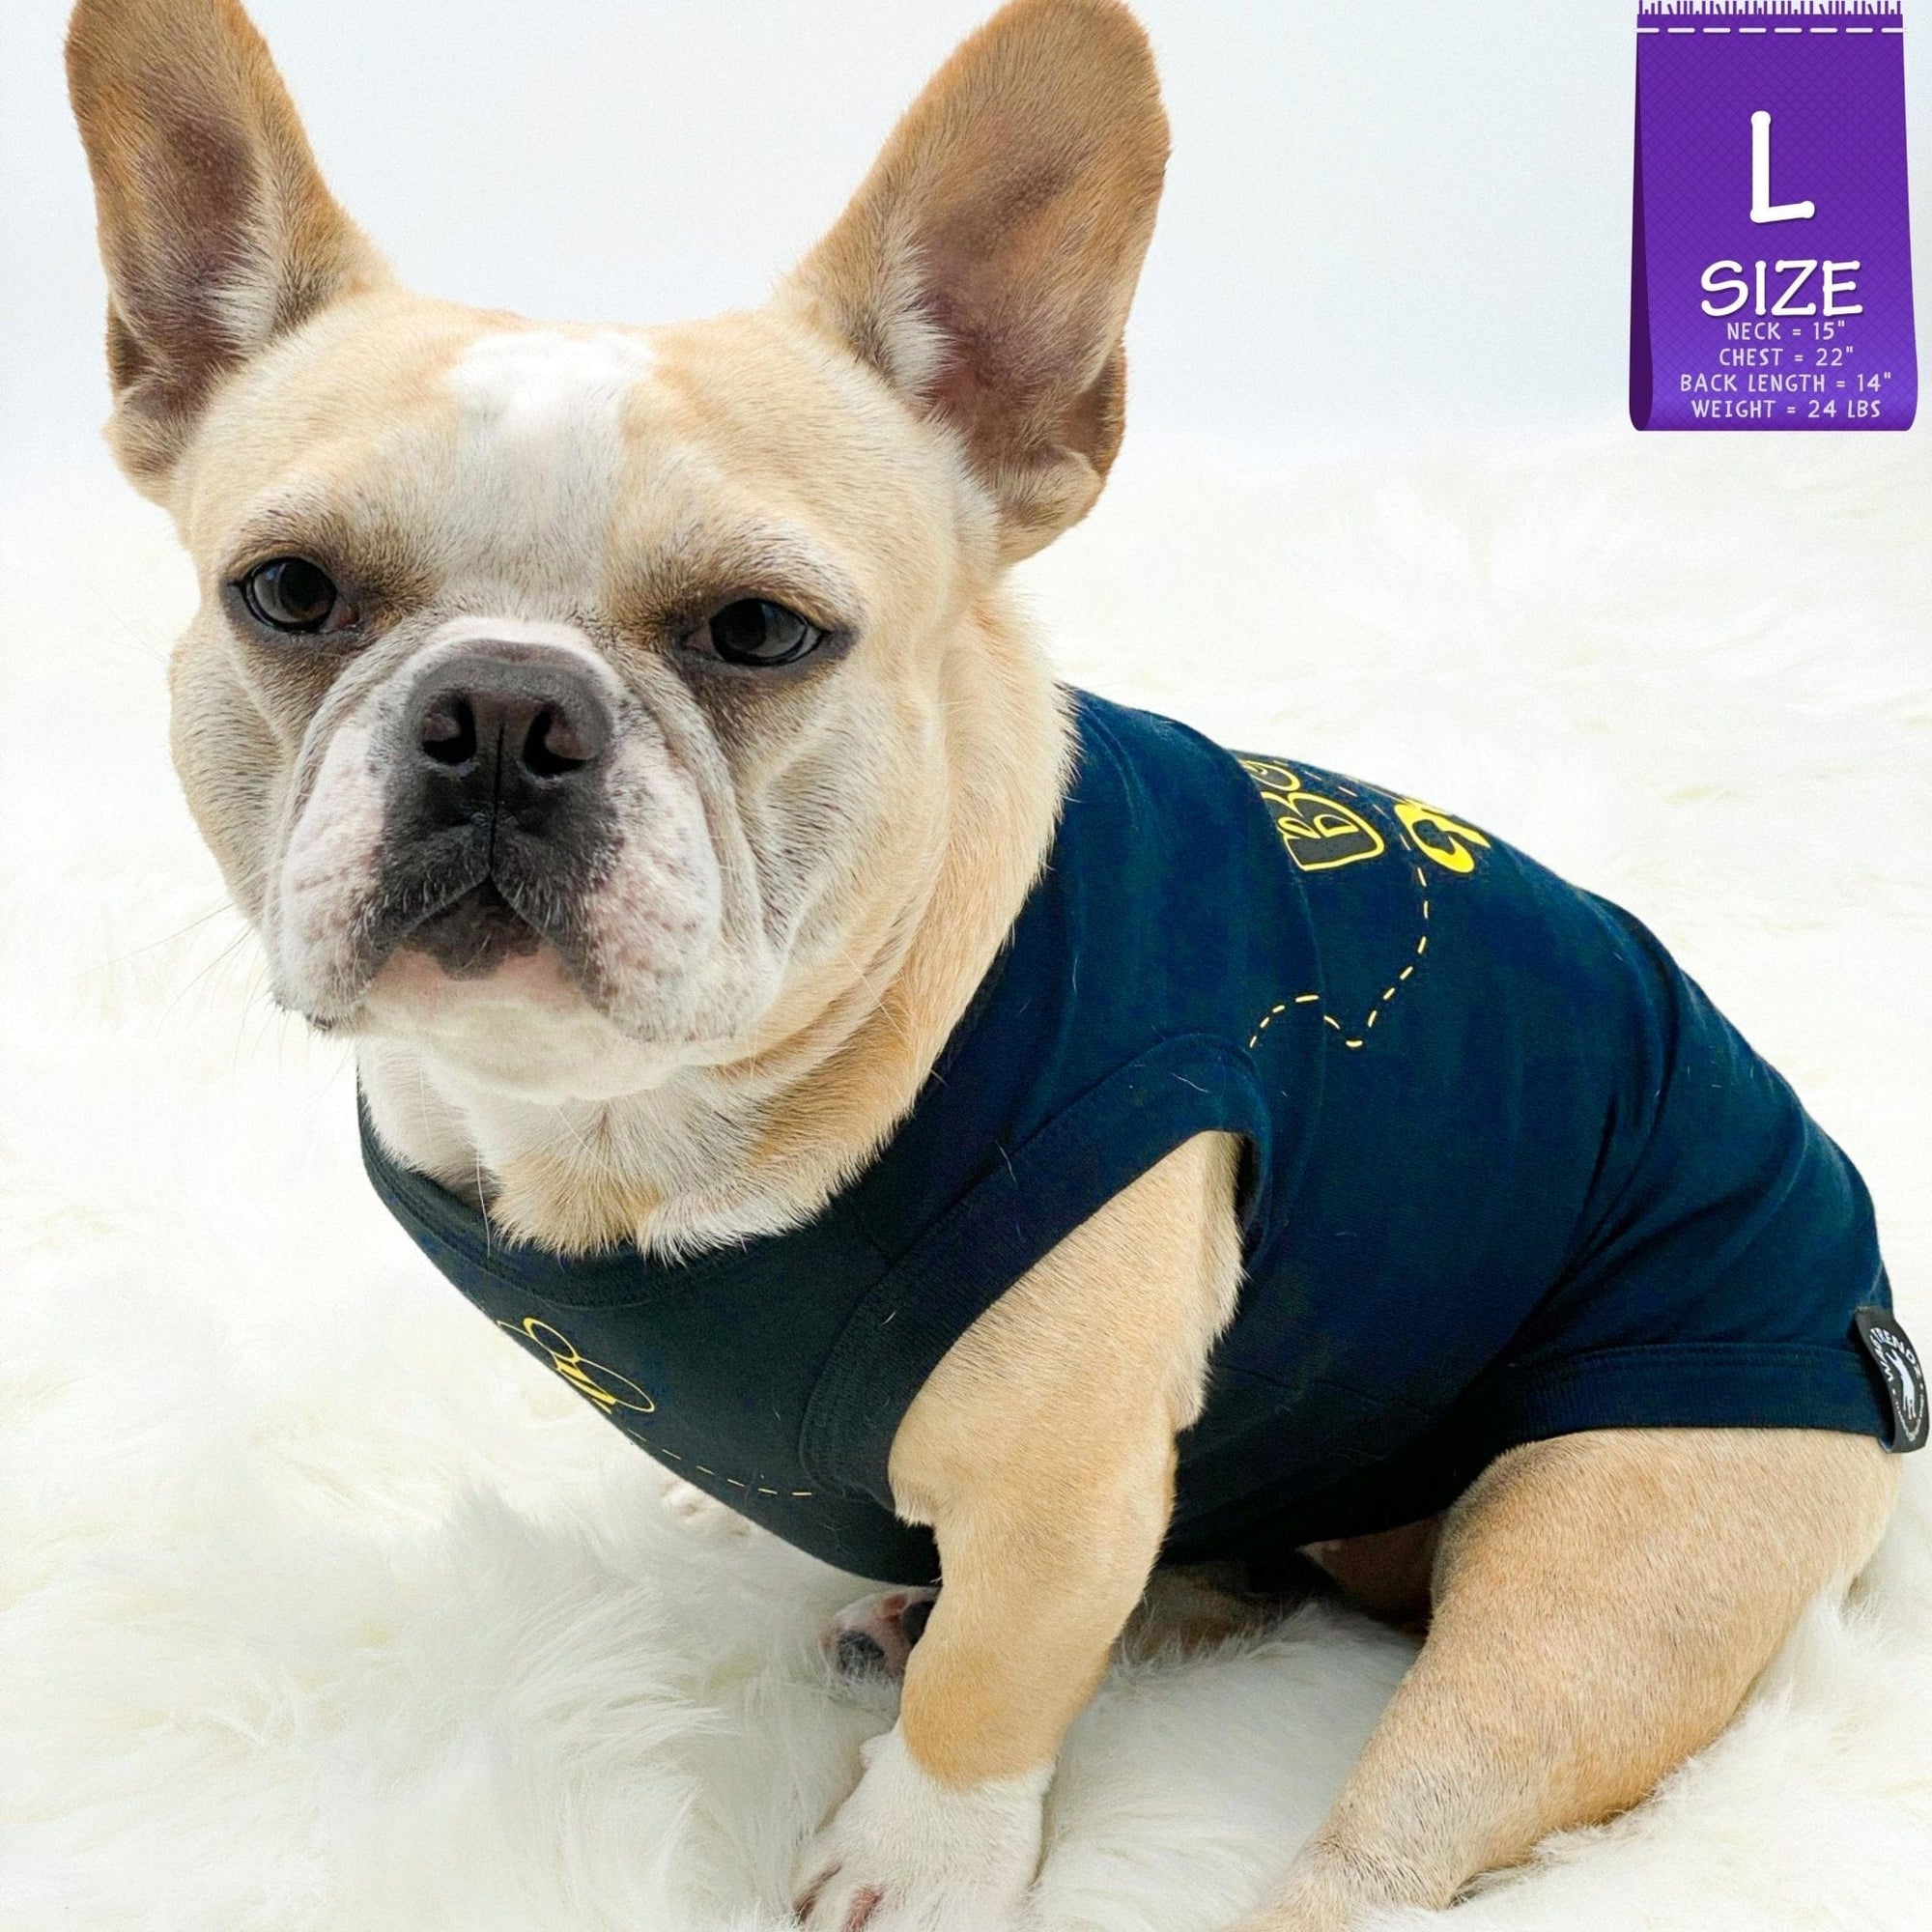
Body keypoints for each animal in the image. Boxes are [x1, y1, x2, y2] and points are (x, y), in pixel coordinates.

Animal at [66, 2, 1922, 1927]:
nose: (504, 712)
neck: (638, 1135)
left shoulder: (1063, 1501)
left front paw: (920, 1860)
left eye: (762, 632)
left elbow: (995, 1683)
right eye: (288, 593)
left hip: (1599, 1570)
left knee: (1398, 1810)